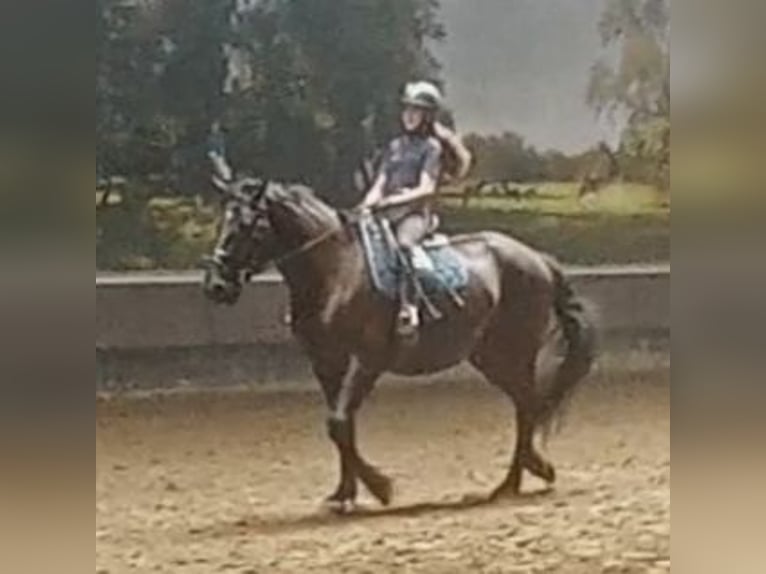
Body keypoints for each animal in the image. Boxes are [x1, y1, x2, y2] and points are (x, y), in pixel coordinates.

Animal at [202, 176, 596, 512]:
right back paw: (526, 472)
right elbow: (340, 425)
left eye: (246, 226)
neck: (336, 271)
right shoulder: (327, 362)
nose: (216, 286)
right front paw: (344, 494)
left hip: (516, 350)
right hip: (491, 357)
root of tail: (537, 258)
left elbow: (339, 423)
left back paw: (514, 482)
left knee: (527, 408)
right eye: (223, 221)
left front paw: (380, 487)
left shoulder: (367, 360)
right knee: (525, 405)